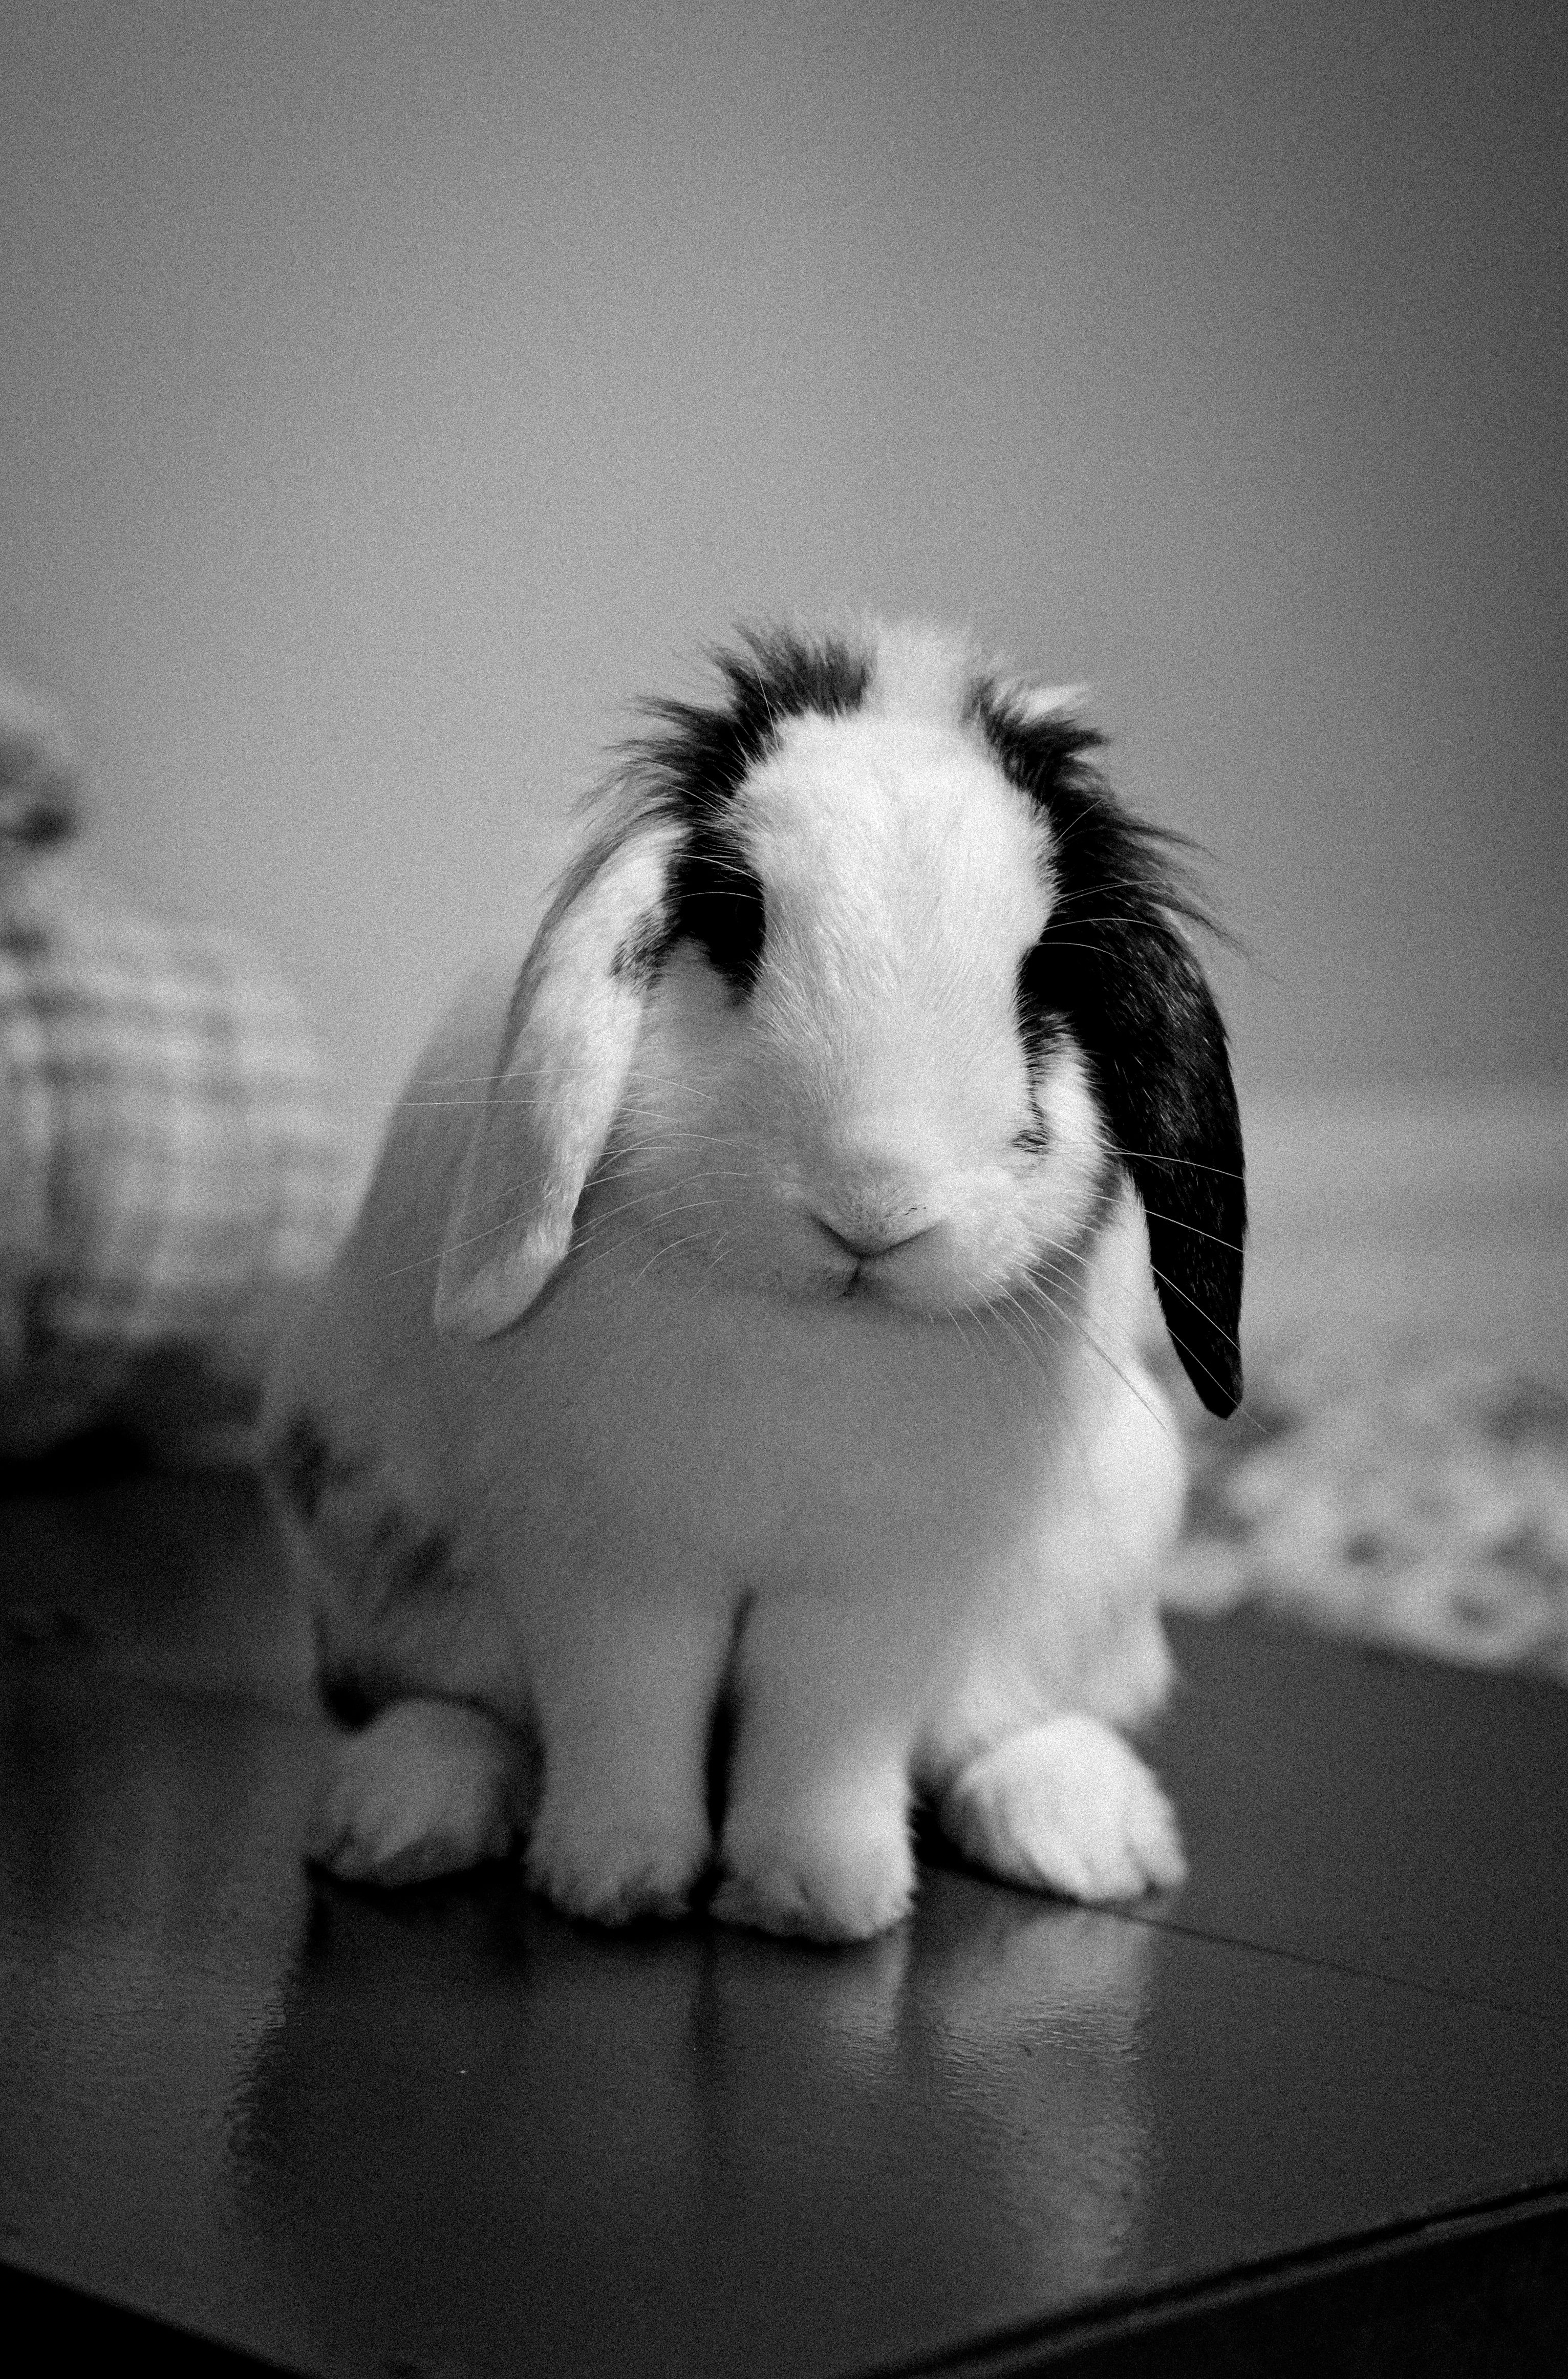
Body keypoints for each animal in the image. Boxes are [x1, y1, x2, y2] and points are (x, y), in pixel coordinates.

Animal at [262, 619, 1245, 1943]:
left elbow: (828, 1735)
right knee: (456, 1707)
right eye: (737, 919)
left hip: (1095, 1569)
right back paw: (395, 1817)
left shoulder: (878, 1590)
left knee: (1003, 1729)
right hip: (374, 1555)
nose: (874, 1201)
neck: (819, 1322)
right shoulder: (609, 1564)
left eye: (1048, 975)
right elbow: (626, 1711)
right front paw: (614, 1879)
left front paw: (814, 1898)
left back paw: (1090, 1837)